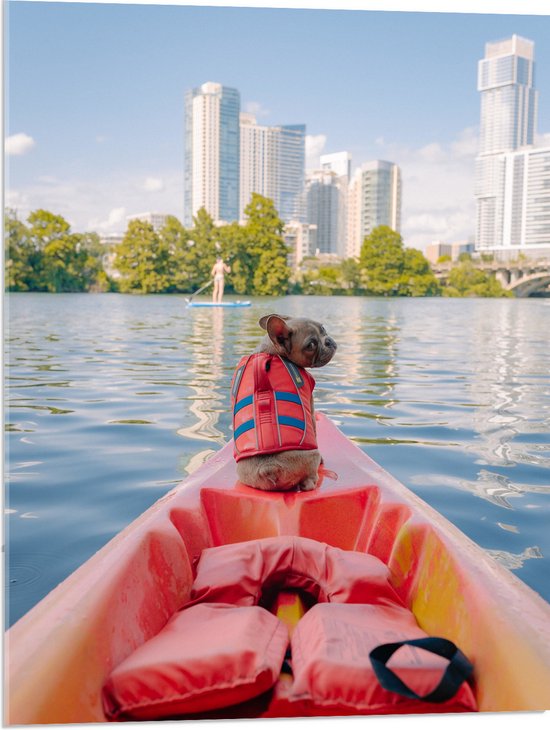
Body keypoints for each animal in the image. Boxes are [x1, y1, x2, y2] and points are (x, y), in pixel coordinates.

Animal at [230, 312, 336, 490]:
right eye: (311, 345)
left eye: (323, 329)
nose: (328, 341)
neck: (272, 351)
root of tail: (269, 467)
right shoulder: (311, 406)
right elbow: (315, 430)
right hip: (311, 455)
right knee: (309, 481)